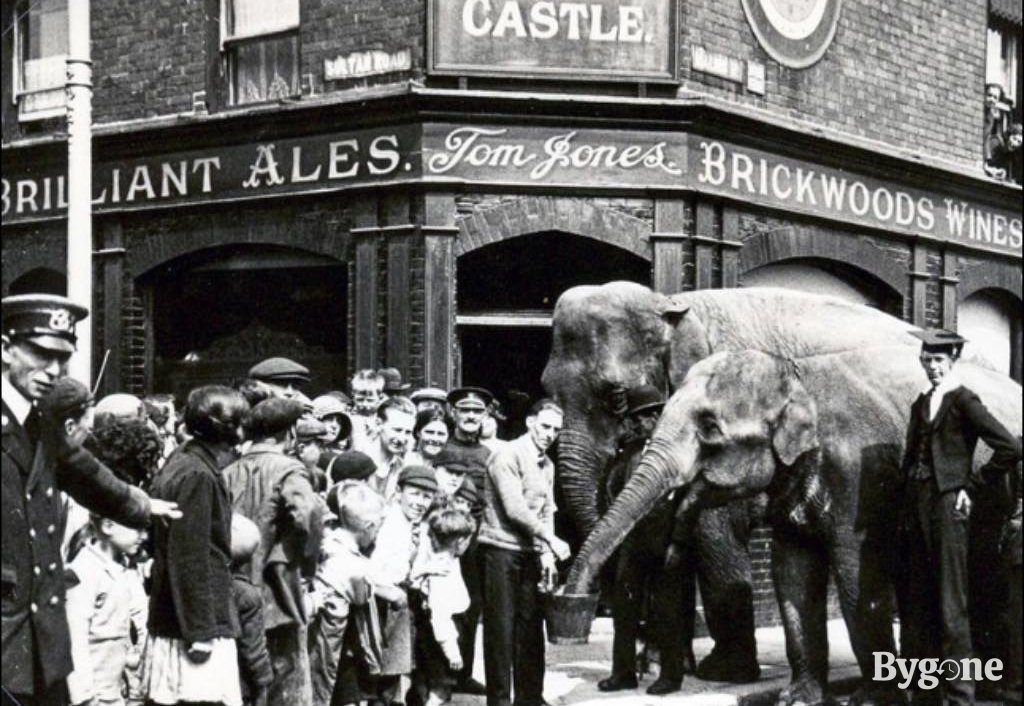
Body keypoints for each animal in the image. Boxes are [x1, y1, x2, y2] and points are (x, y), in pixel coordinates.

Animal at [561, 284, 1024, 704]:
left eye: (616, 396)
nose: (573, 603)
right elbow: (792, 573)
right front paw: (797, 697)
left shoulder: (858, 477)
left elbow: (854, 571)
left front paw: (727, 675)